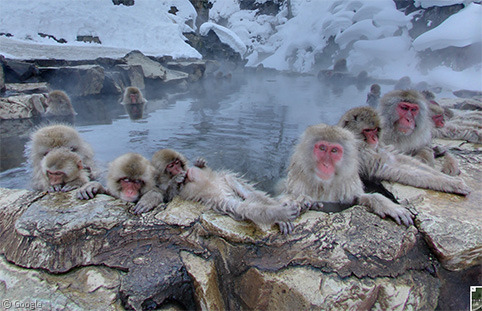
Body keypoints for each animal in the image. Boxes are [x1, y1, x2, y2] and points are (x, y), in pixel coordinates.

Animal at [278, 123, 414, 228]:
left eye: (334, 150)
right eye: (322, 148)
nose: (325, 164)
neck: (324, 185)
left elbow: (357, 199)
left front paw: (387, 205)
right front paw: (293, 206)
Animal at [338, 106, 470, 196]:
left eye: (375, 129)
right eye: (367, 130)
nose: (375, 138)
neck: (361, 143)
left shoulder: (378, 147)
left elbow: (400, 159)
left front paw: (448, 178)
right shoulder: (361, 154)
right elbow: (396, 169)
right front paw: (452, 184)